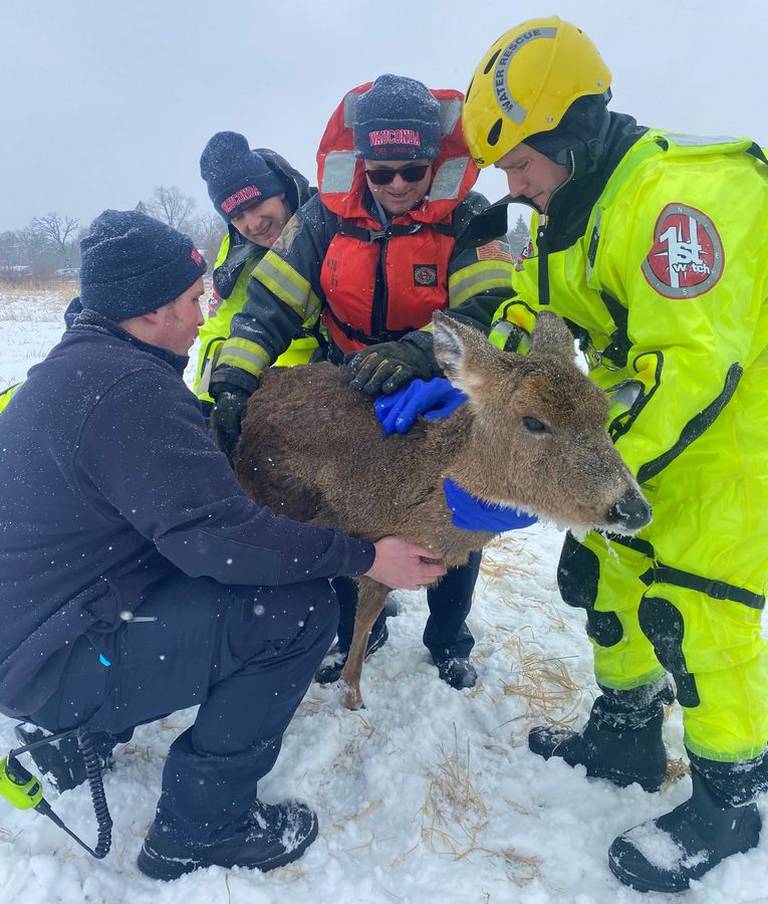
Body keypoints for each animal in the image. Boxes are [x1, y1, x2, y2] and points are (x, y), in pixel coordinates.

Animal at [232, 314, 648, 708]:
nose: (633, 508)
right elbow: (356, 612)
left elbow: (366, 618)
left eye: (603, 415)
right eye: (533, 420)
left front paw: (351, 691)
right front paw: (350, 694)